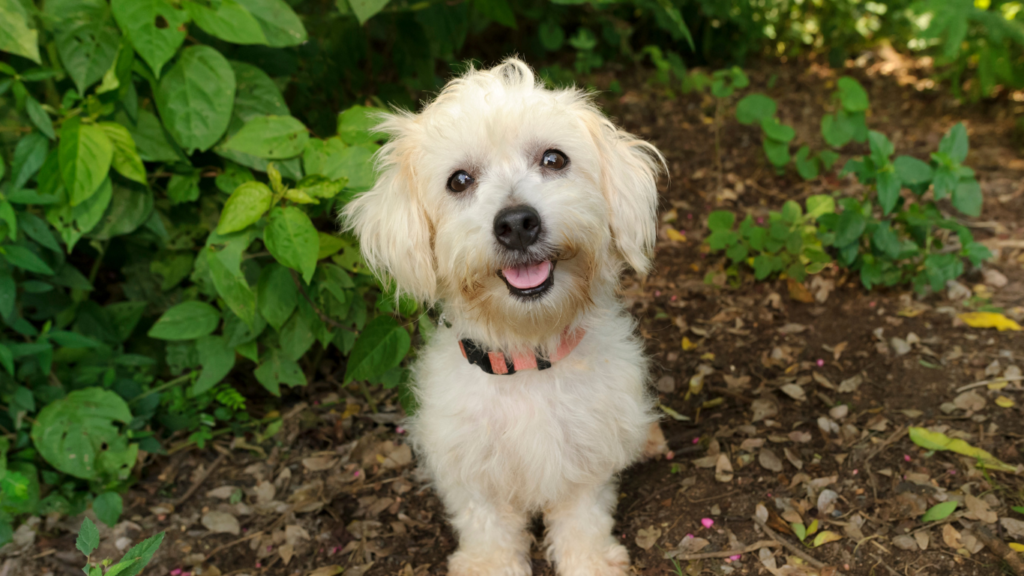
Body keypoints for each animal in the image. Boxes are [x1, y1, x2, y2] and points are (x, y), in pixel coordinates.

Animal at [344, 59, 663, 573]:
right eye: (458, 180)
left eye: (554, 159)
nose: (516, 223)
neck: (526, 351)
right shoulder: (470, 466)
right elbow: (486, 524)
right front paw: (490, 563)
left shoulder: (586, 454)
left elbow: (584, 517)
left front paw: (590, 560)